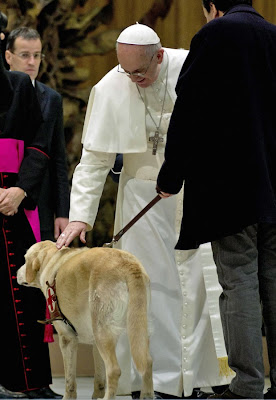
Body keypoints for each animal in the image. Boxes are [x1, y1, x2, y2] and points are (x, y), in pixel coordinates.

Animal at [17, 241, 153, 400]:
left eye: (25, 259)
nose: (16, 273)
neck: (52, 259)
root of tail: (128, 263)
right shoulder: (94, 345)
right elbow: (99, 379)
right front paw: (96, 396)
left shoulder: (67, 338)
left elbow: (69, 381)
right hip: (137, 329)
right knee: (147, 363)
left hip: (102, 332)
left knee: (114, 370)